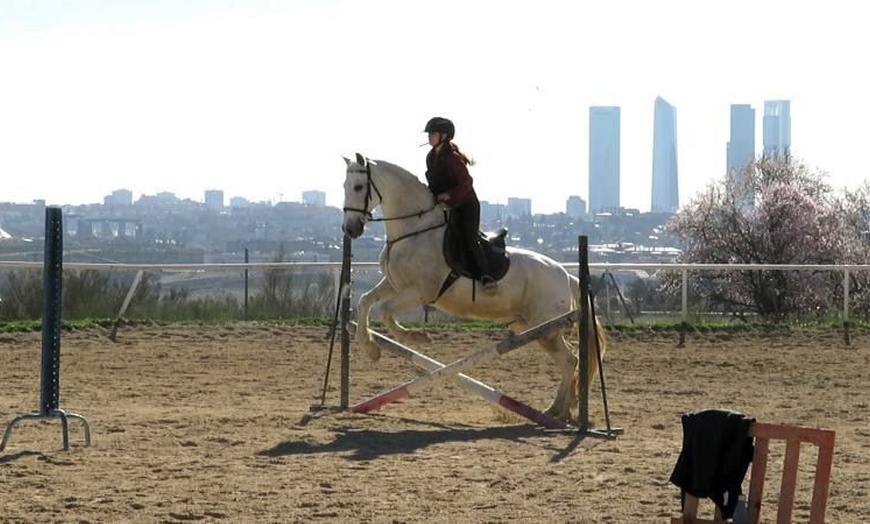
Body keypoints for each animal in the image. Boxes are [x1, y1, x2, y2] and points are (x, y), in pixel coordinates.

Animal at [341, 153, 606, 422]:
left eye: (358, 187)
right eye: (344, 186)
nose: (350, 229)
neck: (413, 232)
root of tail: (566, 275)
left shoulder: (419, 292)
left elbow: (385, 311)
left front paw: (415, 337)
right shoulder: (394, 285)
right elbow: (365, 301)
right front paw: (370, 349)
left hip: (546, 330)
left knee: (570, 360)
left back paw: (557, 411)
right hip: (532, 327)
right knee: (569, 360)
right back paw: (561, 410)